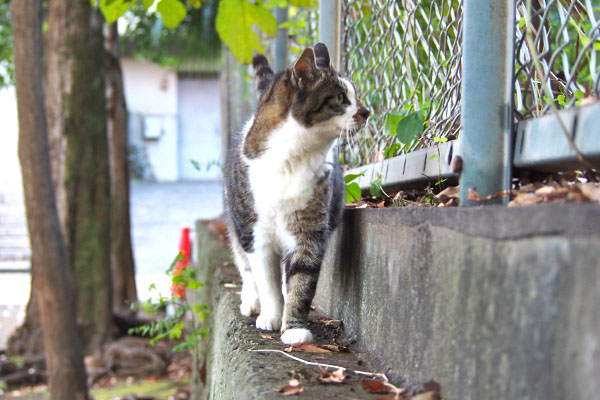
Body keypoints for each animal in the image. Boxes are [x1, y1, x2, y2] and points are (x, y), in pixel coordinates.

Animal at [223, 43, 368, 344]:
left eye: (355, 95)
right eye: (341, 97)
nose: (367, 111)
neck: (293, 156)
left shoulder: (308, 232)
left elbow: (301, 280)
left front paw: (294, 328)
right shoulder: (256, 234)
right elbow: (265, 278)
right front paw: (270, 316)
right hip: (236, 223)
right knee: (245, 267)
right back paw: (251, 302)